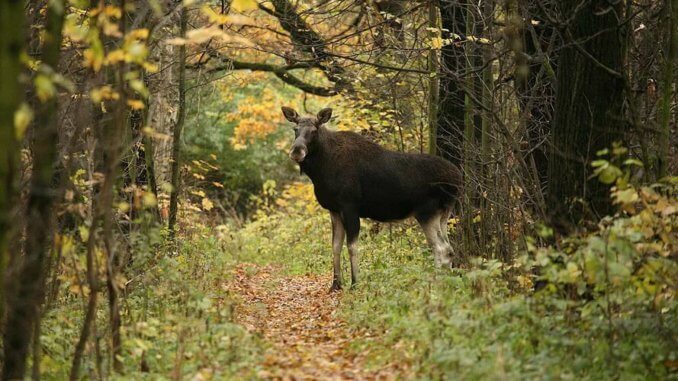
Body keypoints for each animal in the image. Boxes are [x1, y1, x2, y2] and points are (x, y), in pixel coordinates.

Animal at [282, 105, 462, 290]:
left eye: (314, 130)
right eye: (295, 129)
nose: (297, 151)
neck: (321, 170)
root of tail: (458, 179)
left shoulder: (349, 207)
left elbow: (352, 246)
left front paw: (355, 283)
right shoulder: (334, 209)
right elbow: (335, 246)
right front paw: (336, 284)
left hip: (427, 212)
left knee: (441, 249)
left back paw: (435, 286)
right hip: (444, 214)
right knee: (448, 249)